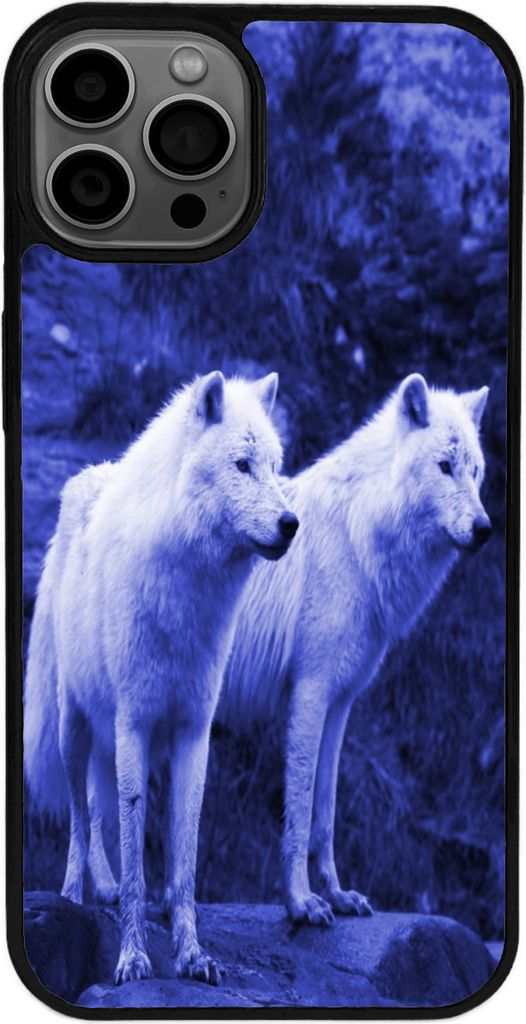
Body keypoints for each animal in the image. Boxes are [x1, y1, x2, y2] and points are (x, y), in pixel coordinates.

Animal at [24, 370, 299, 985]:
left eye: (275, 467)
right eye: (242, 465)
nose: (292, 524)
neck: (189, 594)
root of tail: (84, 479)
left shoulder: (194, 732)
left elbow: (183, 853)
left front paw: (192, 953)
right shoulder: (136, 723)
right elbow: (133, 844)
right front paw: (132, 955)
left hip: (111, 742)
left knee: (96, 807)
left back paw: (102, 889)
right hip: (75, 729)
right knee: (79, 817)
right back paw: (74, 893)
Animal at [217, 373, 492, 926]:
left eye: (475, 472)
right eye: (444, 466)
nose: (484, 529)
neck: (360, 536)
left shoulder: (340, 702)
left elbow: (325, 811)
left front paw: (339, 894)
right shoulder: (309, 691)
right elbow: (301, 809)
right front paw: (300, 902)